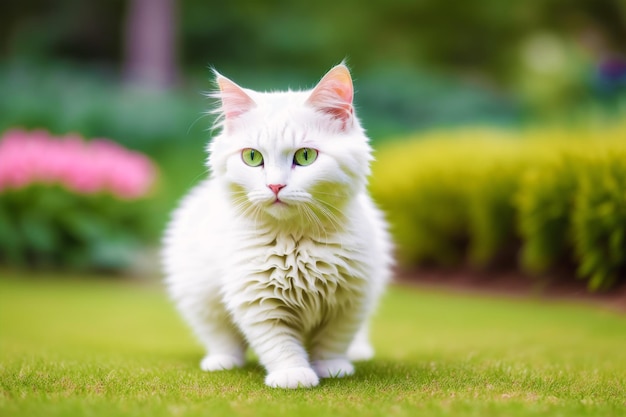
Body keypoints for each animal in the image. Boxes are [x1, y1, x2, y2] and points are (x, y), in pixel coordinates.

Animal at [161, 63, 390, 388]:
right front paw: (293, 375)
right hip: (201, 298)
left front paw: (332, 368)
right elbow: (279, 345)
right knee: (221, 338)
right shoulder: (258, 300)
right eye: (252, 157)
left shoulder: (351, 299)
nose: (275, 185)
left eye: (305, 156)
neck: (296, 239)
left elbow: (333, 341)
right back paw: (222, 361)